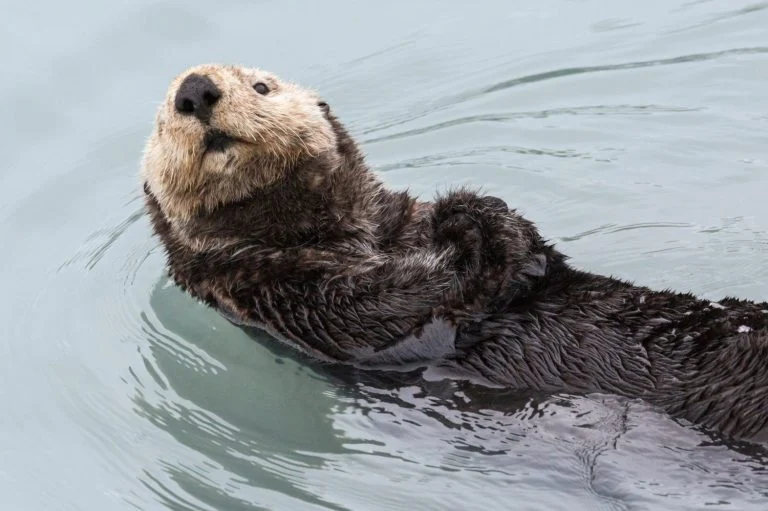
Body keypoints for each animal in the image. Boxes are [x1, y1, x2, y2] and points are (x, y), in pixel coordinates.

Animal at [142, 64, 768, 441]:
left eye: (261, 88)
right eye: (163, 119)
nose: (194, 90)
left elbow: (535, 255)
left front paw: (477, 213)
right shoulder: (292, 299)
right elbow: (404, 305)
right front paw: (466, 218)